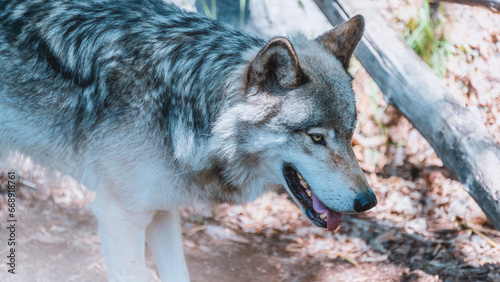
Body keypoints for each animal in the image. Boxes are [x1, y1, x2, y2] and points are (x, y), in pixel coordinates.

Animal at [0, 0, 376, 280]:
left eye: (349, 134)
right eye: (317, 137)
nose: (368, 201)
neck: (183, 104)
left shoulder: (160, 209)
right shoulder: (119, 215)